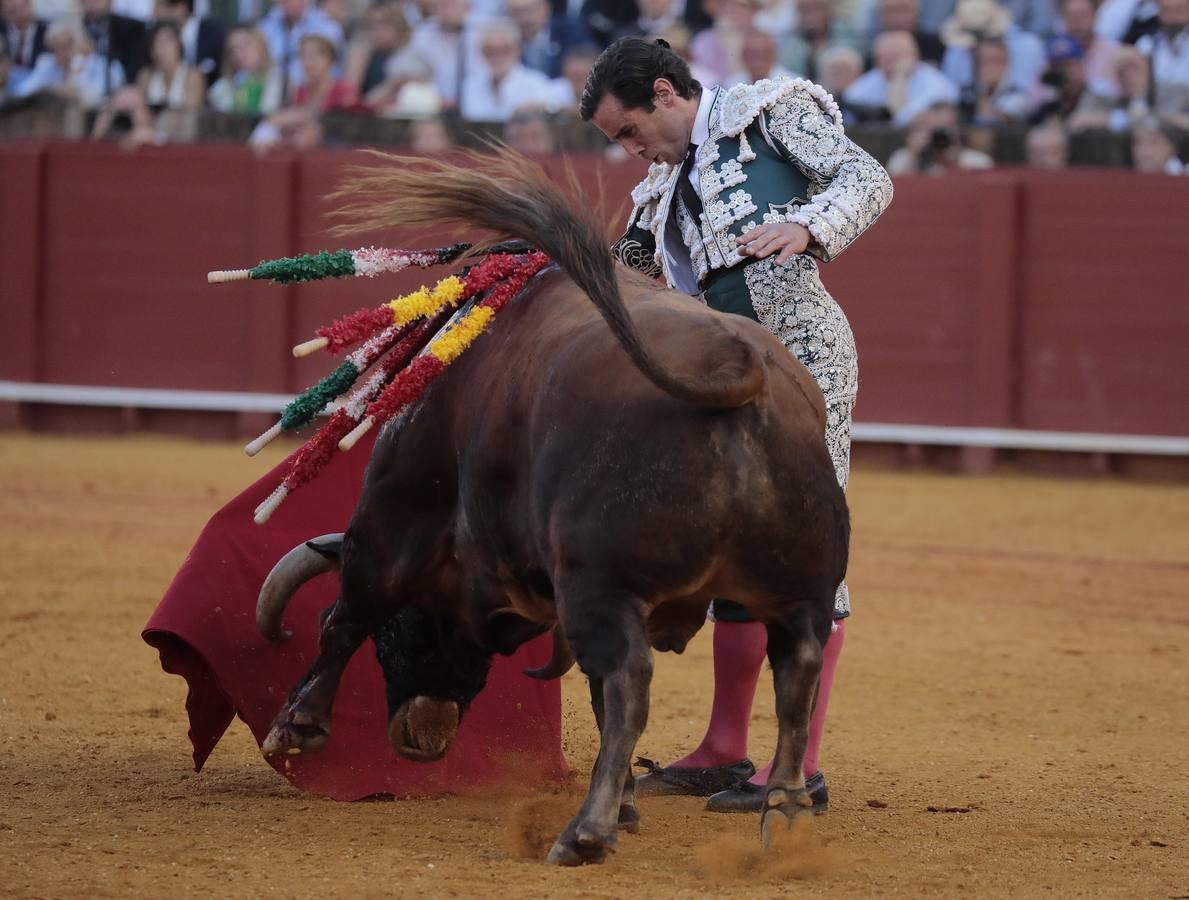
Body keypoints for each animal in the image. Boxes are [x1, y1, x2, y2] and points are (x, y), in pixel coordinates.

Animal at [256, 154, 846, 865]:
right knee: (796, 673)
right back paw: (782, 815)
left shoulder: (389, 524)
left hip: (600, 583)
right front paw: (628, 805)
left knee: (630, 682)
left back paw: (584, 833)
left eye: (403, 636)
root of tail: (743, 370)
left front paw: (296, 725)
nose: (423, 740)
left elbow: (343, 619)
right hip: (798, 591)